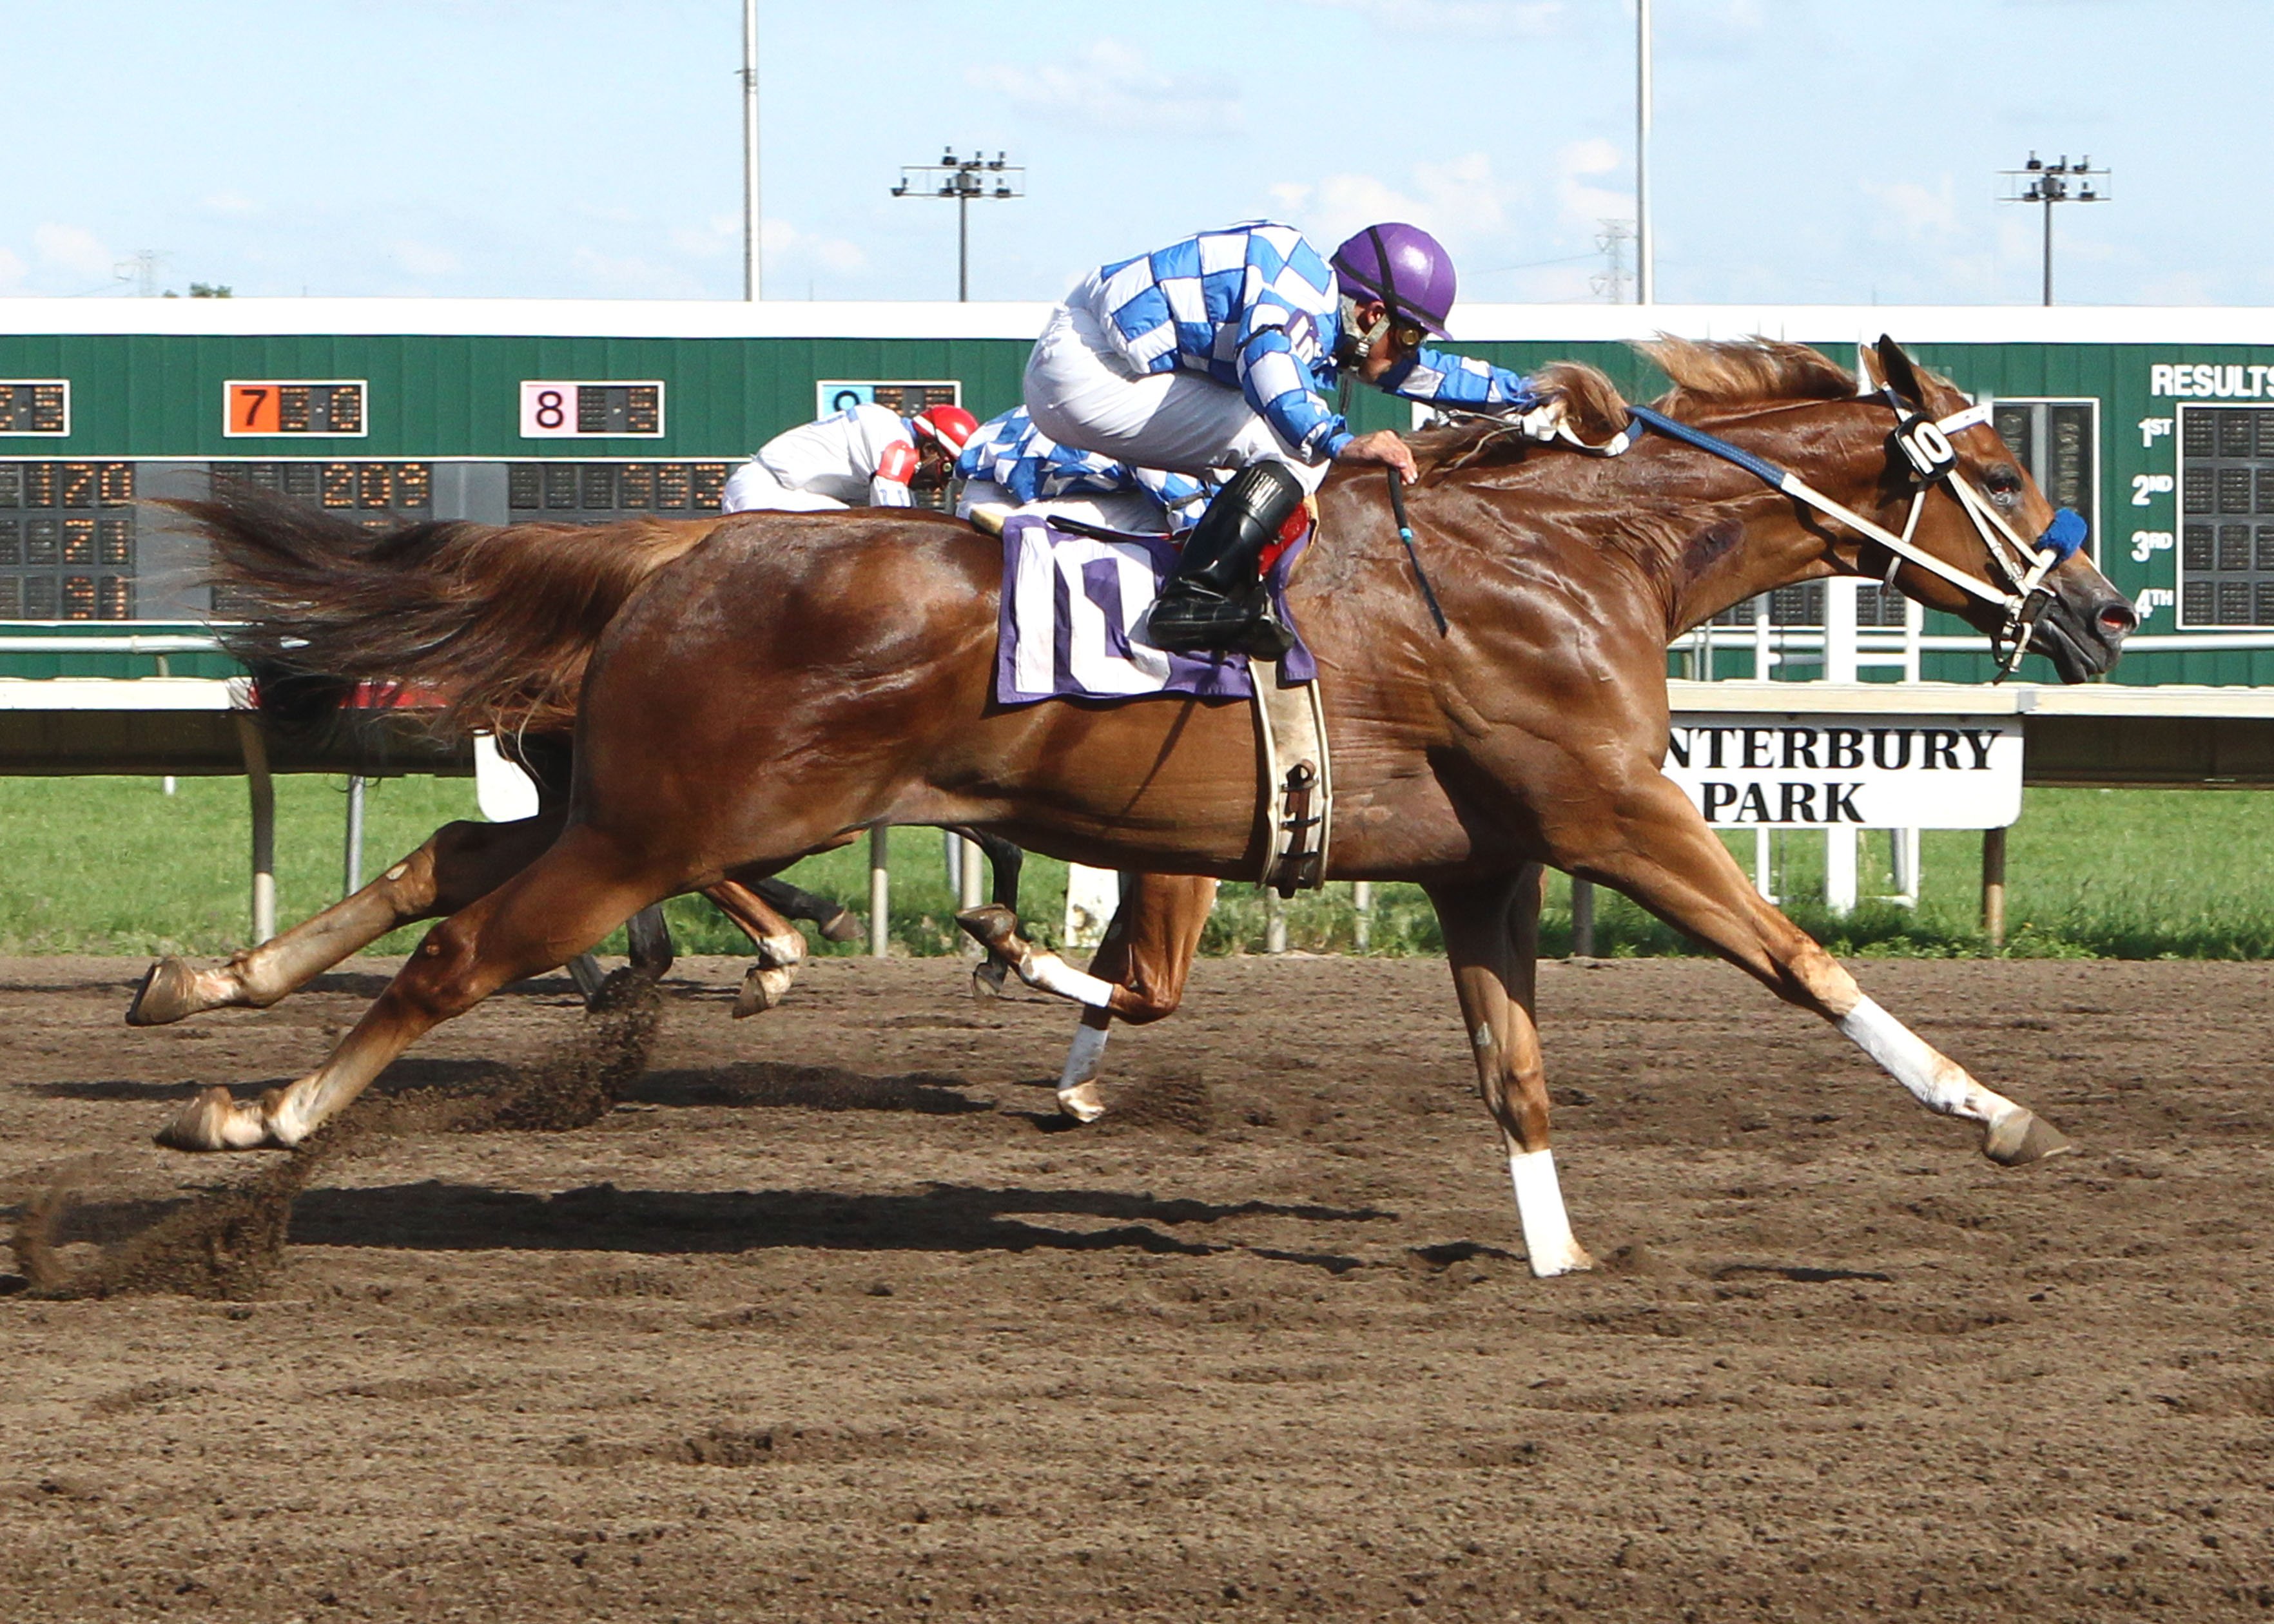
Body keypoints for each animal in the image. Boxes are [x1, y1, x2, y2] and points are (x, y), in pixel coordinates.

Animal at [149, 336, 2136, 1279]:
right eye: (2004, 462)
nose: (2106, 611)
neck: (1572, 554)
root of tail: (685, 551)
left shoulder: (1482, 865)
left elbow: (1513, 1069)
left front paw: (1562, 1253)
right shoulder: (1614, 816)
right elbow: (1803, 963)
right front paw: (1996, 1113)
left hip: (656, 809)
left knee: (454, 860)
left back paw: (204, 988)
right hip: (674, 824)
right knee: (466, 947)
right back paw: (258, 1117)